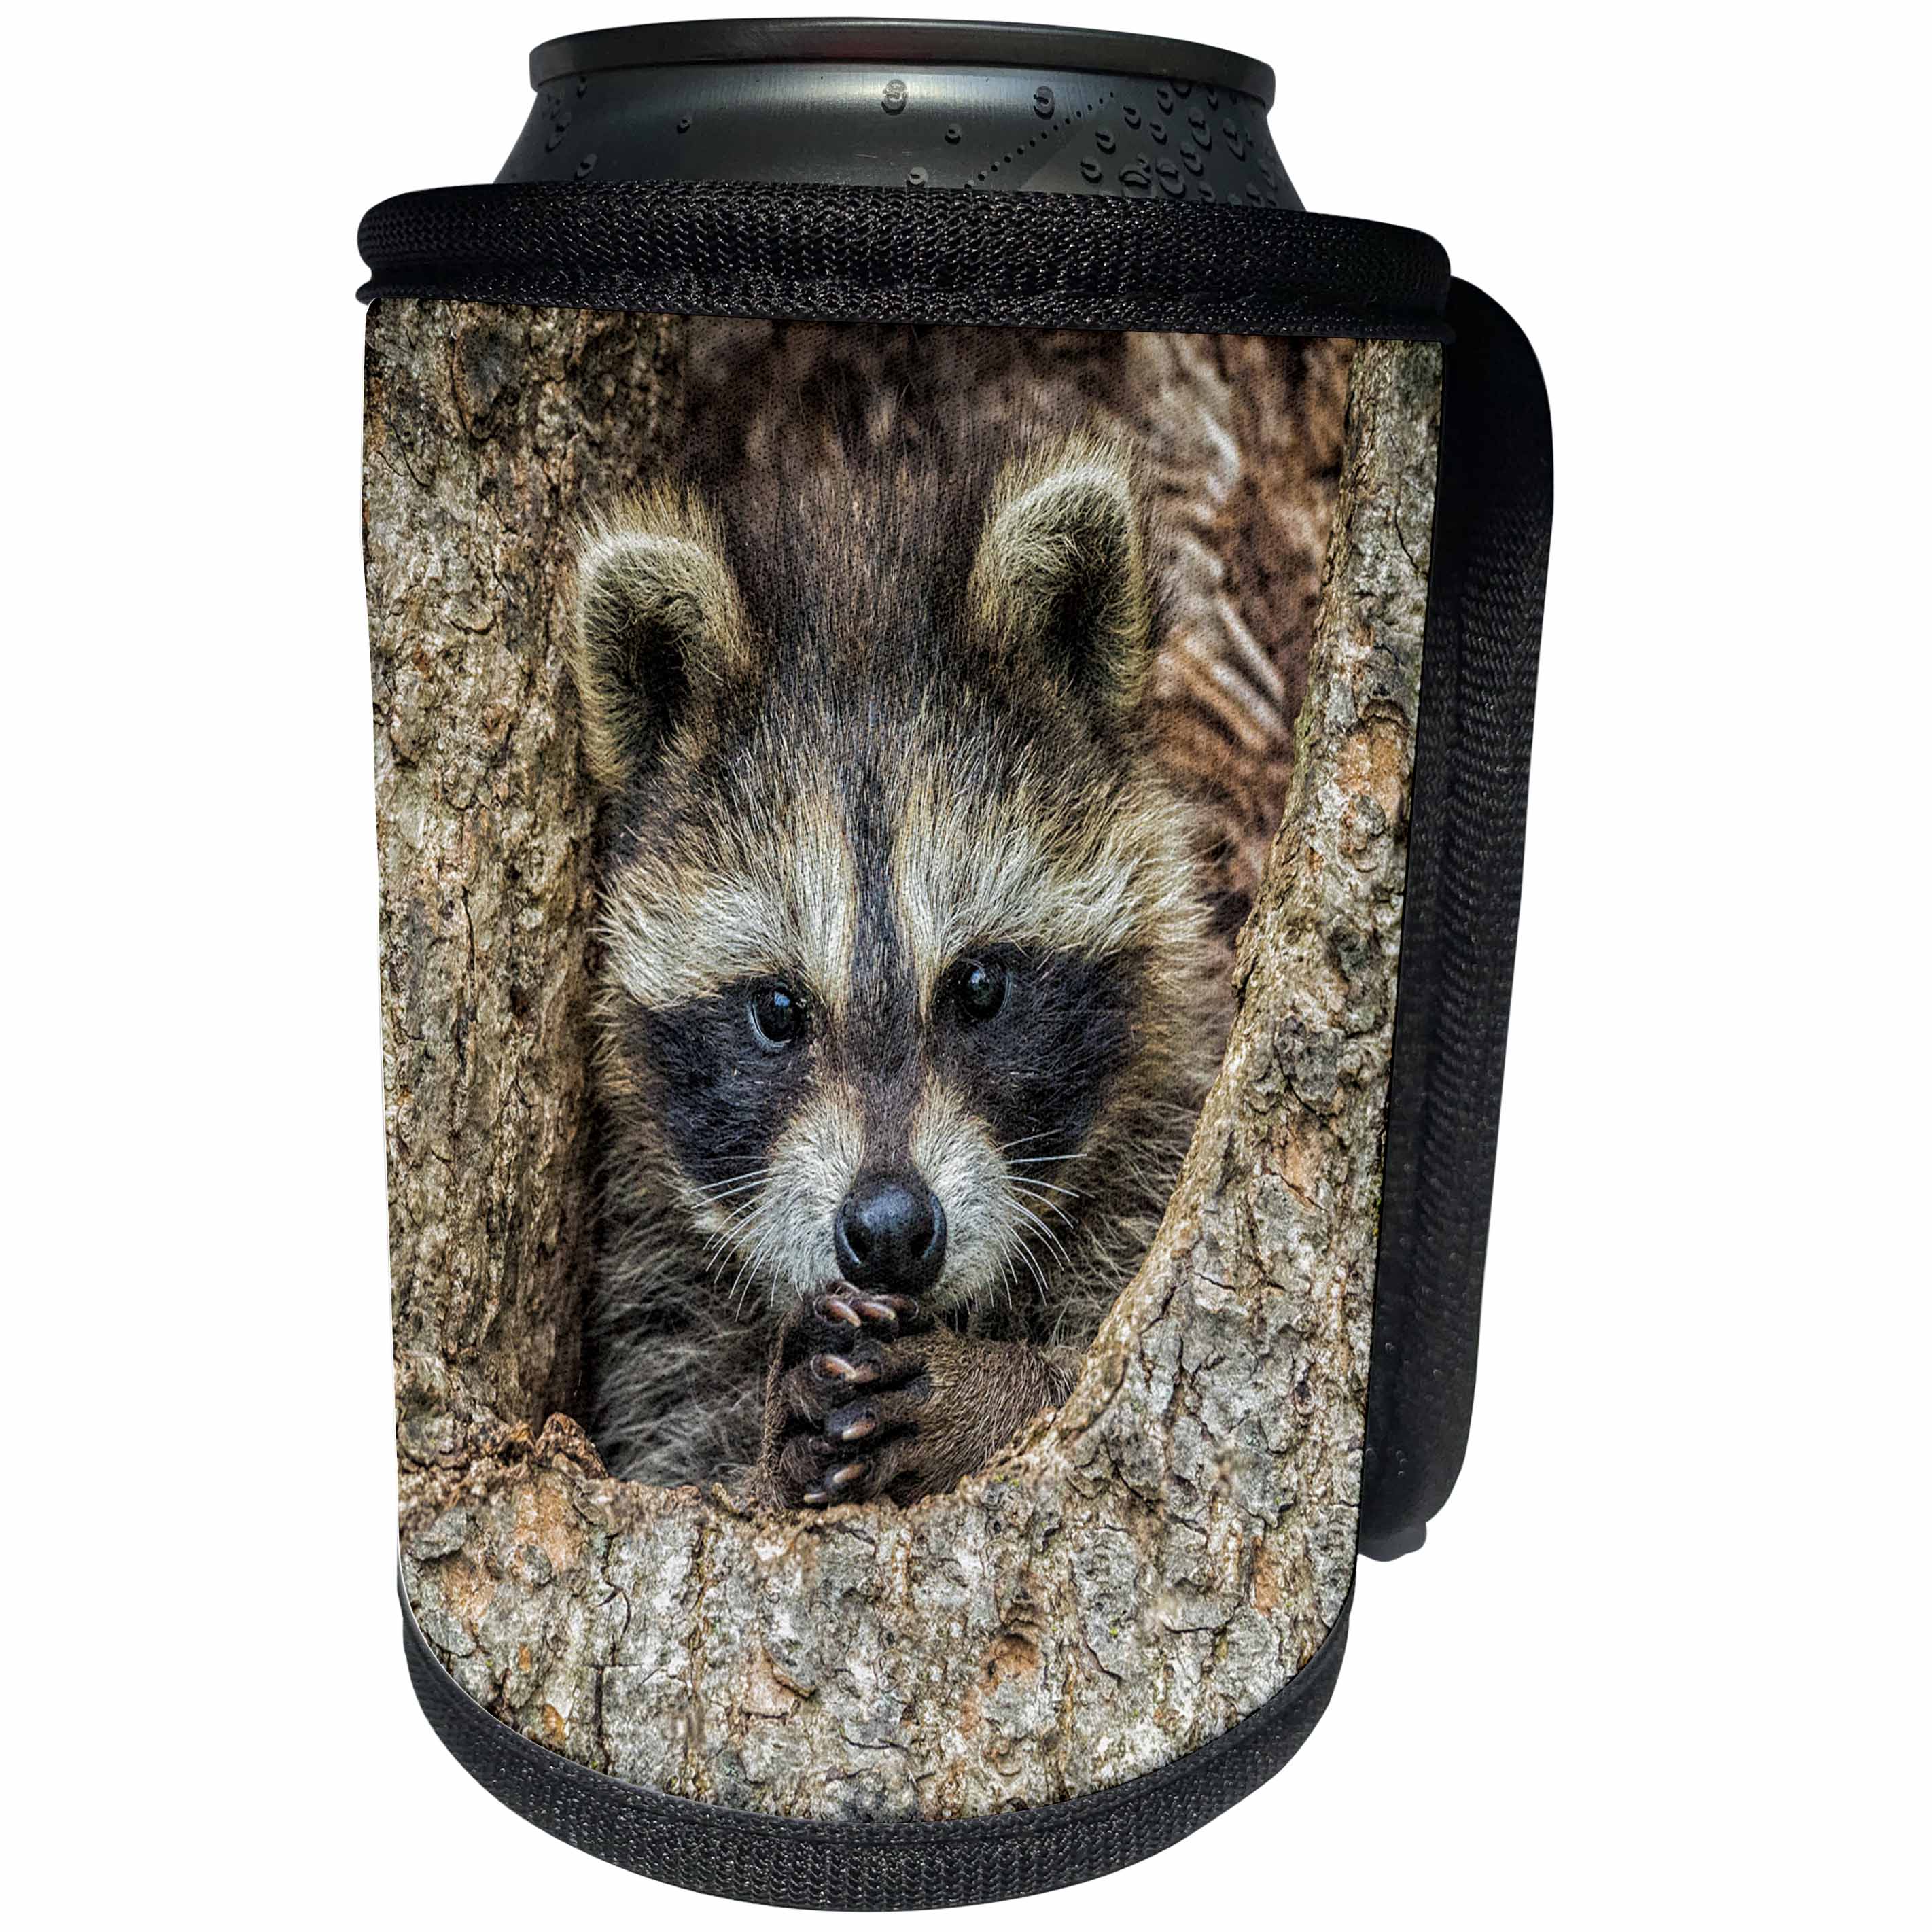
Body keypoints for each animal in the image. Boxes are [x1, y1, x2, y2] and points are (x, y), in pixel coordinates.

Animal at [572, 431, 1233, 1507]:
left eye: (978, 985)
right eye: (777, 1007)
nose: (887, 1229)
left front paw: (988, 1393)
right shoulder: (656, 1289)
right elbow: (681, 1445)